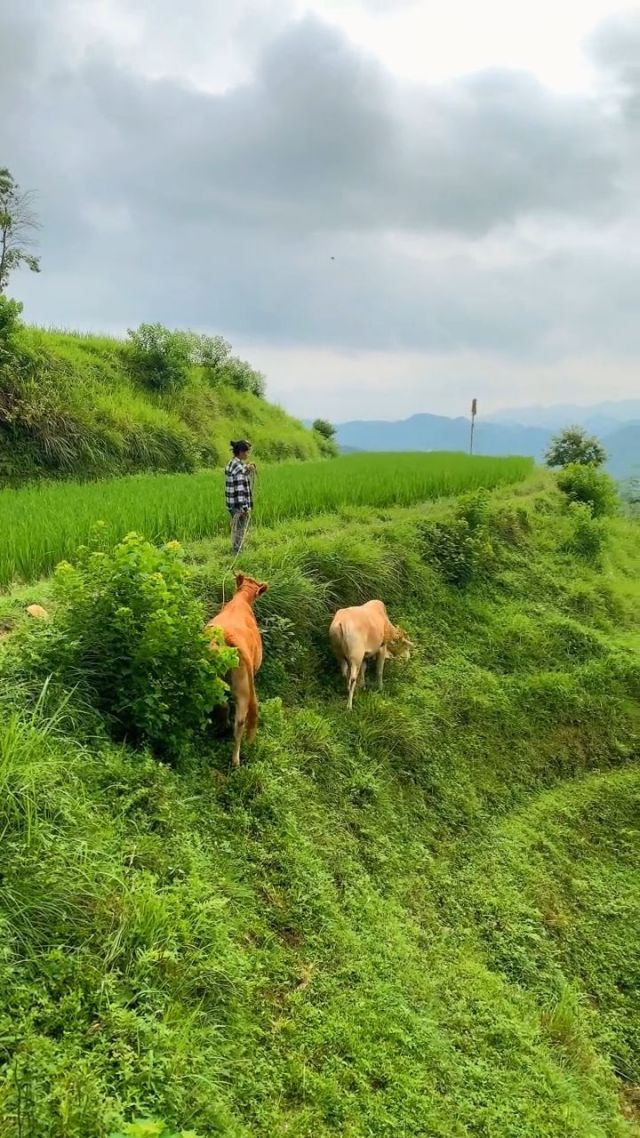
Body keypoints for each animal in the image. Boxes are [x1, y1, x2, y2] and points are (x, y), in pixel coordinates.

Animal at [204, 573, 267, 769]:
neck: (242, 600)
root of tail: (229, 637)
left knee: (228, 708)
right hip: (242, 686)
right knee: (239, 720)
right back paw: (235, 760)